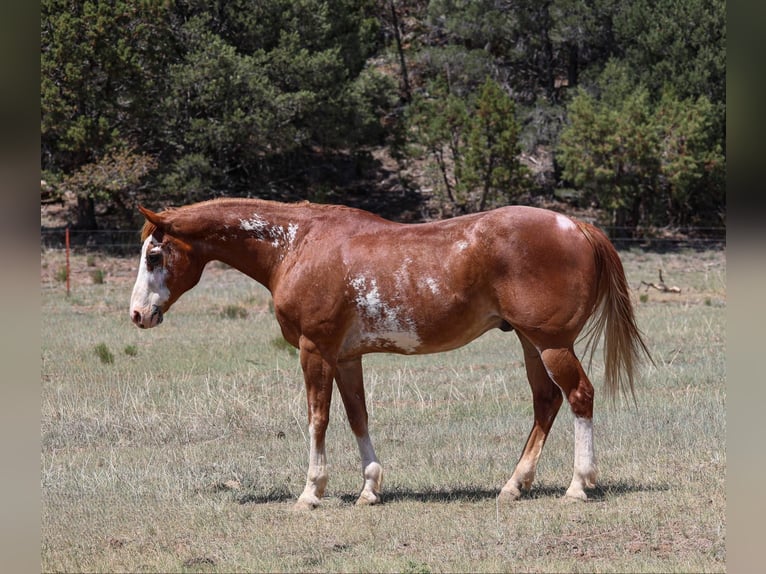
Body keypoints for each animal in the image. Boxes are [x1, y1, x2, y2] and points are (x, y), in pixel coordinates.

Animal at [129, 197, 651, 509]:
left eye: (155, 256)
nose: (138, 314)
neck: (297, 246)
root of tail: (576, 226)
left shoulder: (315, 351)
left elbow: (318, 418)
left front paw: (311, 492)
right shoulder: (345, 357)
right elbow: (357, 416)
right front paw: (369, 488)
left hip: (550, 343)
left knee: (579, 397)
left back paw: (578, 485)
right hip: (529, 343)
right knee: (547, 403)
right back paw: (513, 486)